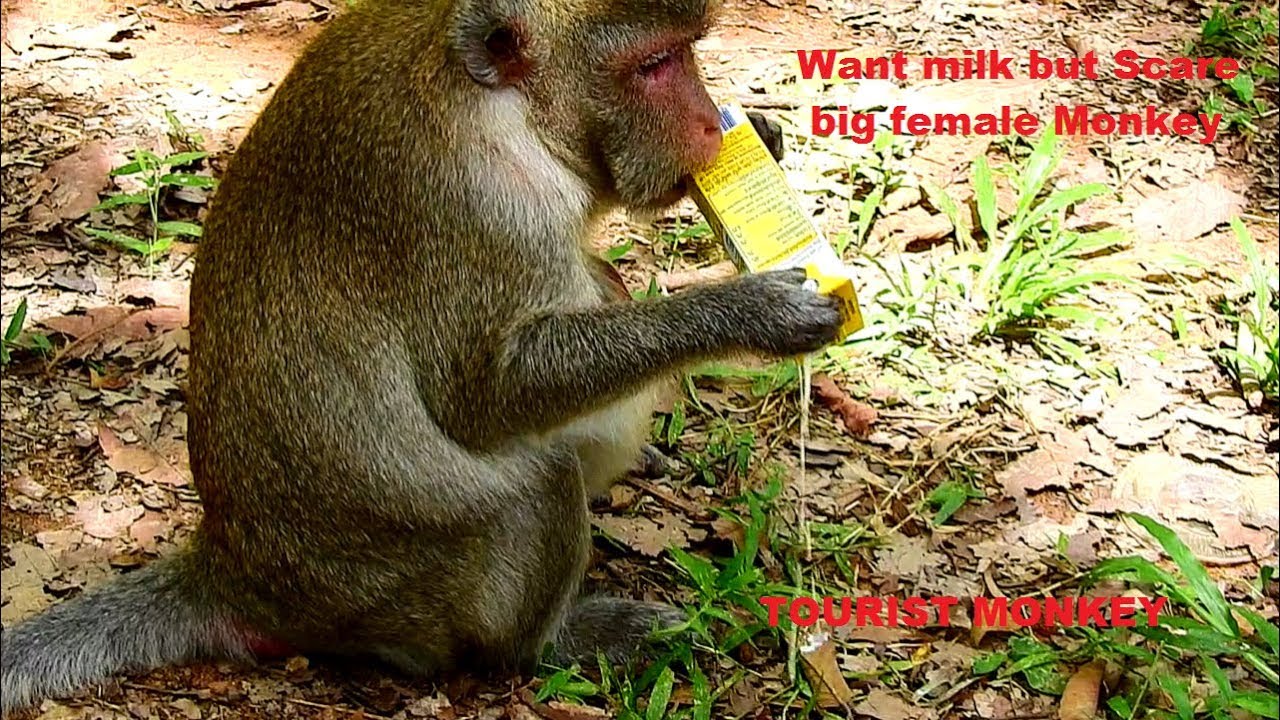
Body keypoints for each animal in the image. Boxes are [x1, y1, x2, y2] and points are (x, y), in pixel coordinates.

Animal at [0, 0, 840, 714]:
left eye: (687, 51)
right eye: (654, 64)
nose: (705, 125)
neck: (507, 108)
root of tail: (237, 572)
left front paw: (760, 139)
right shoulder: (480, 203)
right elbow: (484, 394)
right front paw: (751, 311)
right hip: (406, 596)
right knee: (534, 483)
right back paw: (550, 642)